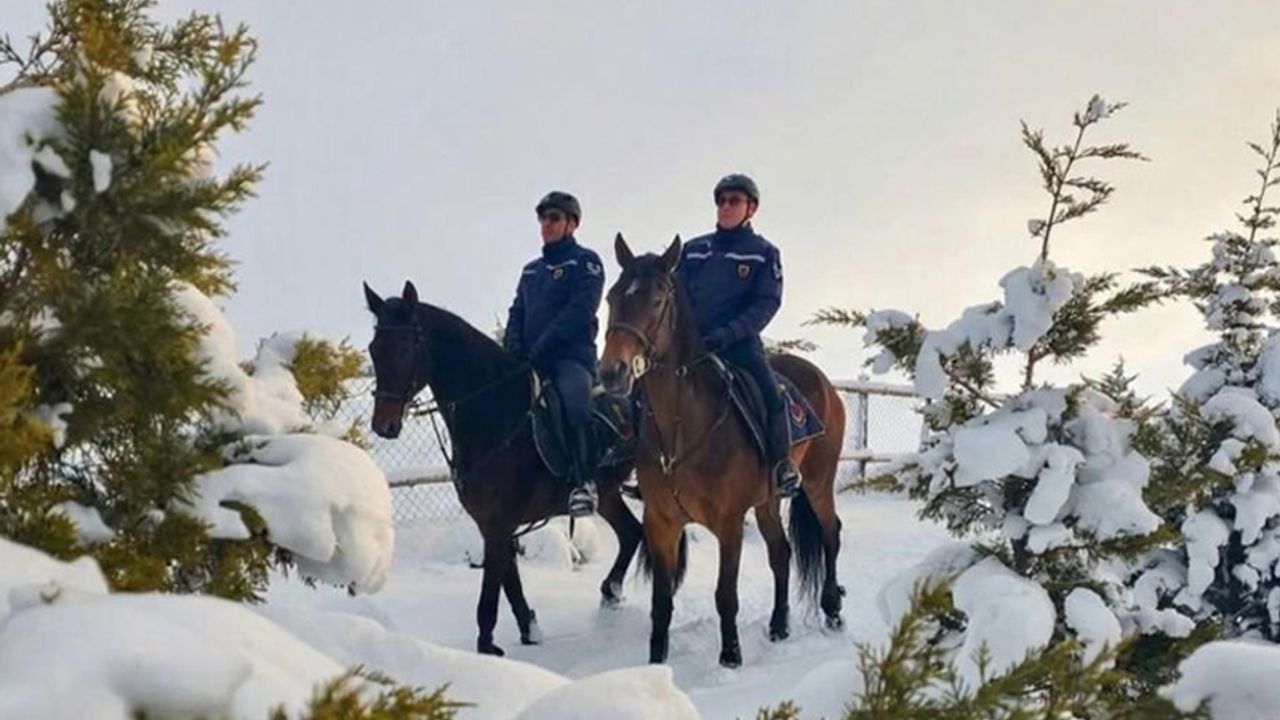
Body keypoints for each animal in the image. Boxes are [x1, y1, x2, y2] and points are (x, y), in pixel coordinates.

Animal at [363, 280, 642, 657]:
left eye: (407, 346)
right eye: (374, 349)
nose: (384, 425)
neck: (495, 412)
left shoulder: (498, 523)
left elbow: (490, 594)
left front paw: (488, 648)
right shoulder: (492, 523)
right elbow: (510, 581)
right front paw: (530, 629)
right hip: (610, 493)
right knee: (631, 533)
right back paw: (610, 593)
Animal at [598, 235, 846, 668]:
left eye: (658, 300)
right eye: (612, 296)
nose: (612, 372)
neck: (683, 427)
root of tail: (826, 385)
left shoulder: (729, 524)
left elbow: (725, 595)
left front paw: (731, 655)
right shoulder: (661, 522)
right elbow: (661, 602)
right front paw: (657, 662)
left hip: (818, 482)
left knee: (831, 535)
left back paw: (832, 611)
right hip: (767, 501)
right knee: (781, 553)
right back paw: (779, 626)